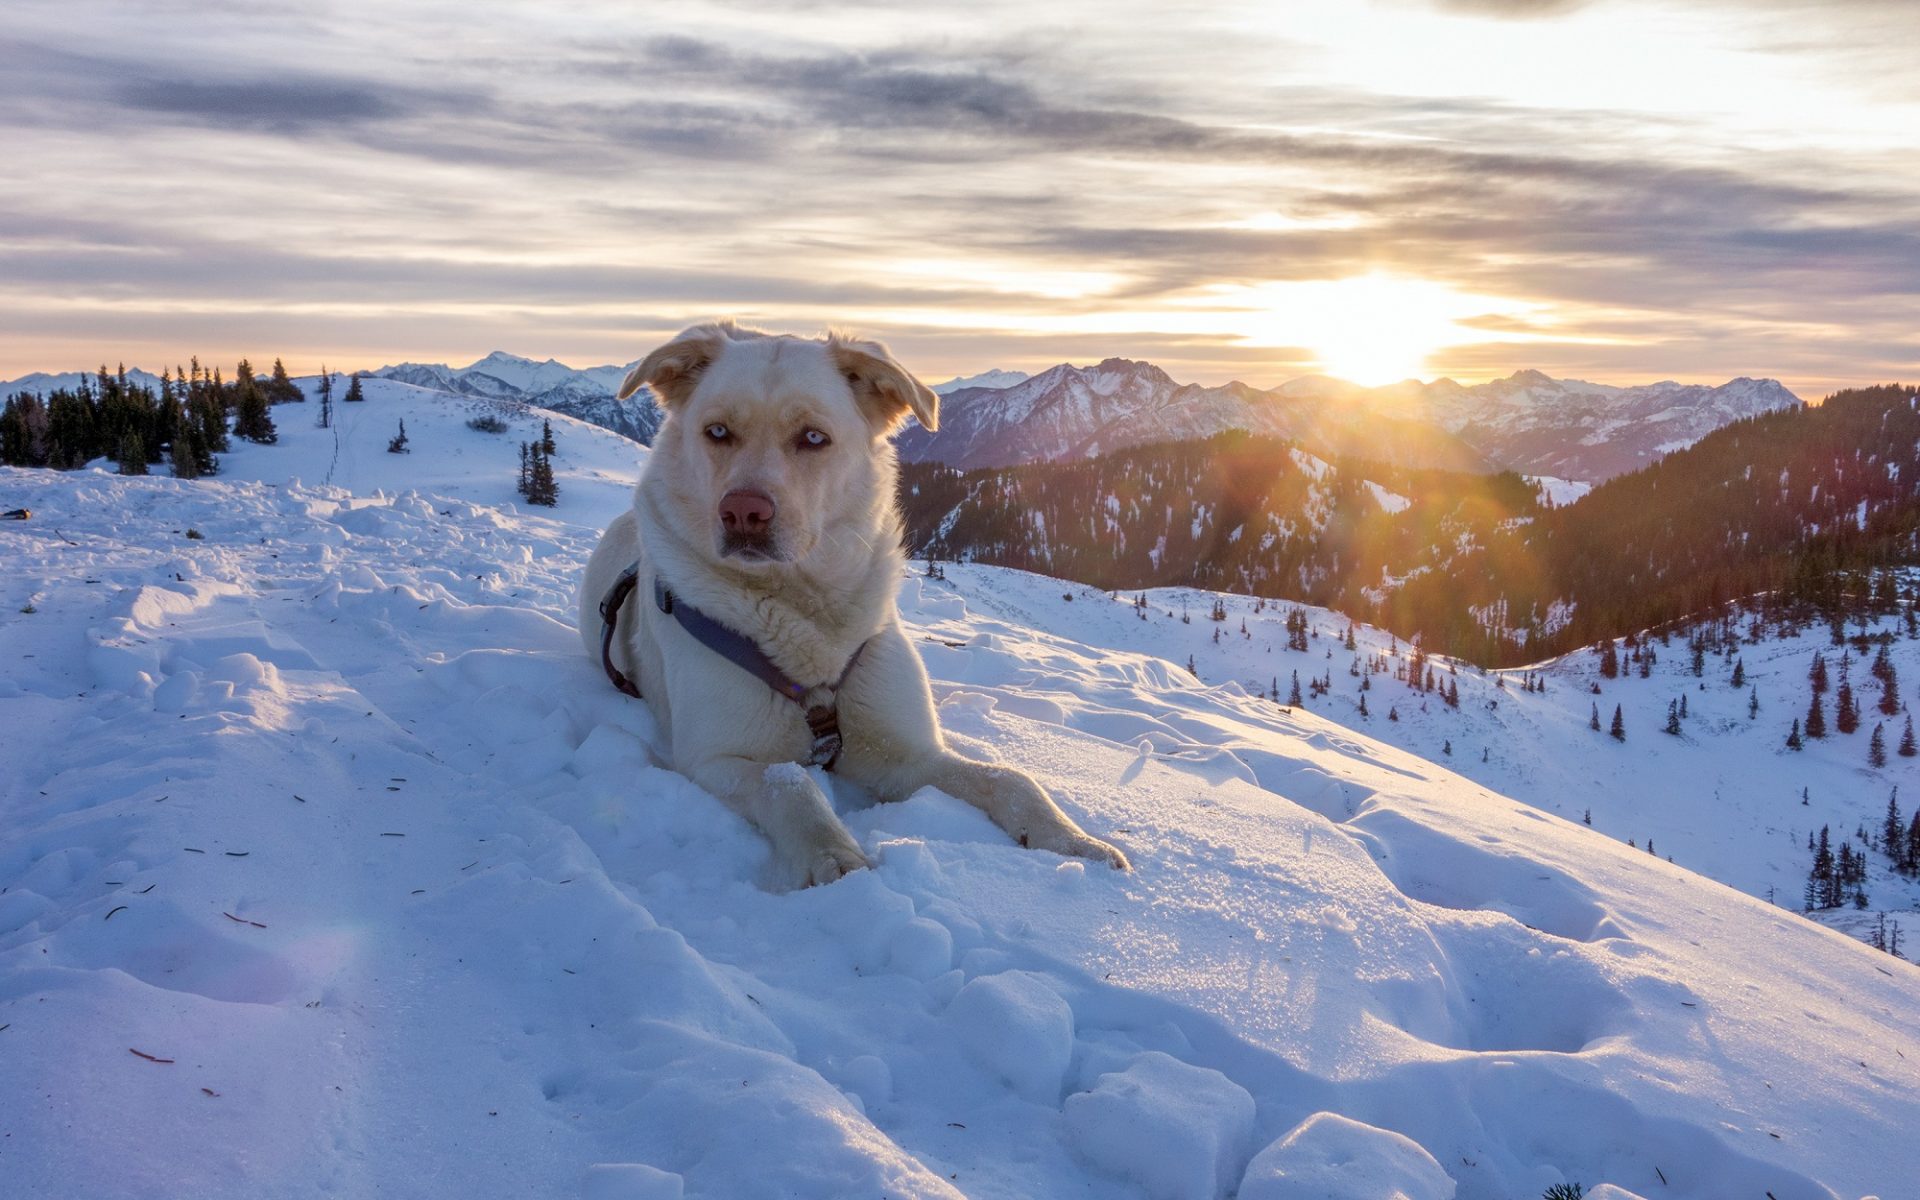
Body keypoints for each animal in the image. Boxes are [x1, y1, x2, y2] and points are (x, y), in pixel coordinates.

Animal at [576, 322, 1128, 883]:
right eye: (717, 432)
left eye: (813, 438)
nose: (742, 512)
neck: (806, 615)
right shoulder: (715, 759)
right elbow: (791, 784)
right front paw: (836, 861)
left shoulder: (902, 753)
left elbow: (1010, 778)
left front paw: (1073, 840)